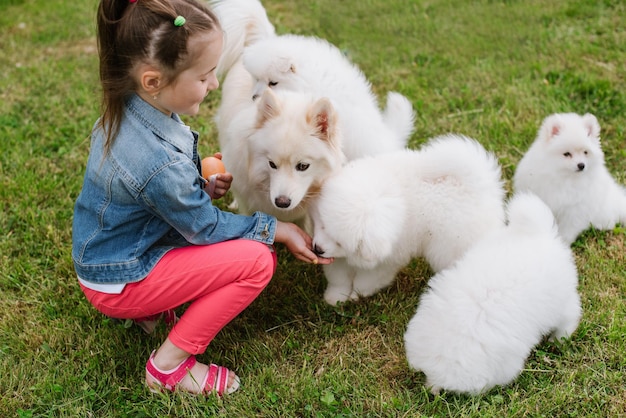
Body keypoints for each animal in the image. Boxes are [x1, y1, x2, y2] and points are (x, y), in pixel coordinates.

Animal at [310, 136, 504, 306]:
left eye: (339, 242)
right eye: (322, 225)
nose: (318, 249)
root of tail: (481, 185)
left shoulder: (385, 261)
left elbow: (366, 280)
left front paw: (356, 295)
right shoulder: (339, 259)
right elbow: (338, 277)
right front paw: (335, 298)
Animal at [512, 112, 624, 247]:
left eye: (585, 152)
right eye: (566, 154)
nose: (581, 165)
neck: (564, 177)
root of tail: (617, 197)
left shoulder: (575, 211)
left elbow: (568, 229)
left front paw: (562, 243)